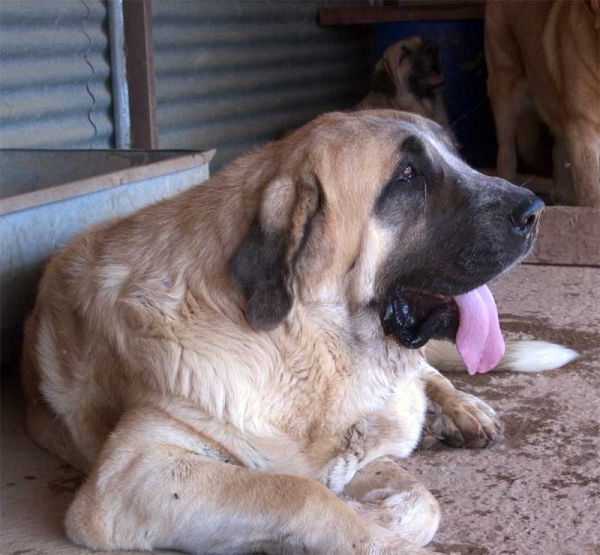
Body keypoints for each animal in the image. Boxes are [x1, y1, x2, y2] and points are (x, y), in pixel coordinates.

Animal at [22, 111, 576, 552]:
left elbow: (419, 500)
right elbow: (301, 492)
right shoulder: (134, 472)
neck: (303, 341)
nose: (536, 210)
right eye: (407, 175)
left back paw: (465, 409)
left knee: (427, 376)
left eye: (458, 157)